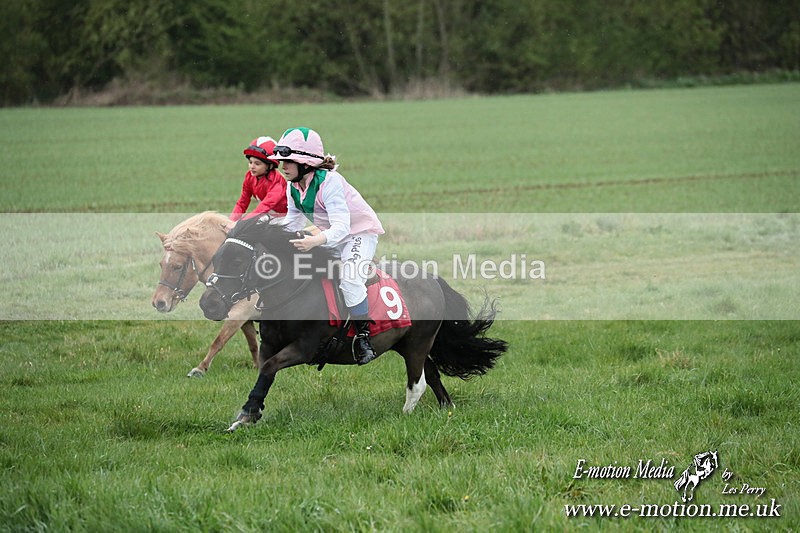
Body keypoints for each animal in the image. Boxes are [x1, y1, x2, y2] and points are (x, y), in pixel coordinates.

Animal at [152, 211, 260, 377]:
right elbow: (253, 344)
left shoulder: (239, 313)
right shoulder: (244, 318)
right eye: (161, 265)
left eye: (178, 267)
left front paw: (200, 368)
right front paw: (258, 366)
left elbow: (219, 341)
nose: (159, 302)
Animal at [198, 215, 508, 431]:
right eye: (217, 259)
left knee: (417, 382)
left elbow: (269, 367)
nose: (208, 304)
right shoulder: (270, 345)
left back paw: (406, 414)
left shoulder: (304, 348)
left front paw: (248, 413)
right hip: (405, 344)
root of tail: (433, 280)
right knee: (431, 375)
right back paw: (446, 406)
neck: (292, 293)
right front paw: (249, 414)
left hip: (419, 342)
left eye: (238, 261)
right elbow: (265, 370)